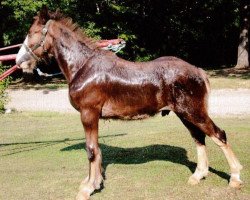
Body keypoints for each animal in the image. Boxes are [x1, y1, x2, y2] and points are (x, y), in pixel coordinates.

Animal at [15, 7, 242, 200]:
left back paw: (235, 178)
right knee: (199, 137)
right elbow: (97, 150)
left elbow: (91, 150)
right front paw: (94, 182)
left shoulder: (88, 114)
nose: (19, 61)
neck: (83, 66)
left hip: (193, 112)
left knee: (218, 135)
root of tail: (198, 71)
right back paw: (198, 176)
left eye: (32, 32)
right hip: (185, 113)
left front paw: (88, 188)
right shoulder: (92, 116)